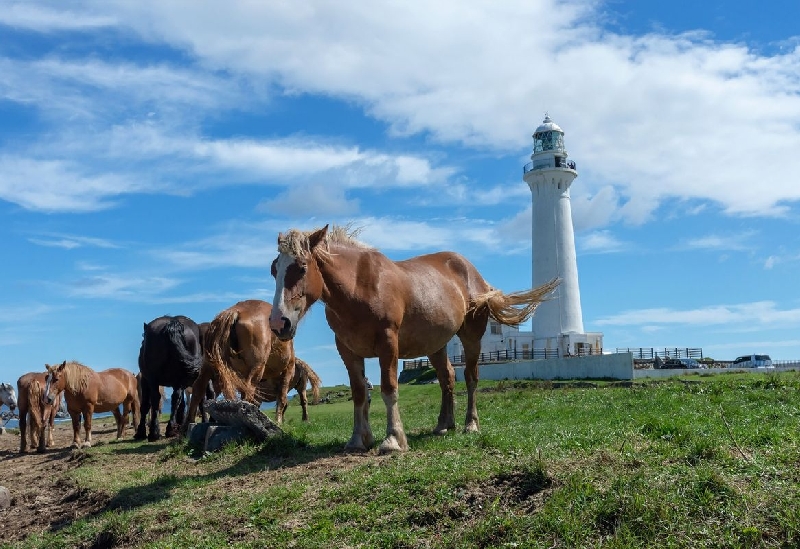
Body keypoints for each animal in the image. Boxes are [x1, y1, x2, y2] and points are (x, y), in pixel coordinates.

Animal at [184, 298, 296, 430]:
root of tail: (235, 311)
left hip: (208, 365)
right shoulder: (288, 370)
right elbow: (281, 398)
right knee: (248, 392)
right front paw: (278, 422)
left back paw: (189, 424)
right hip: (256, 368)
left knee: (198, 389)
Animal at [268, 225, 556, 452]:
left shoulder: (388, 343)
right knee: (447, 378)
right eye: (274, 270)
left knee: (471, 377)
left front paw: (393, 440)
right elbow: (359, 393)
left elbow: (389, 389)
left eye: (302, 267)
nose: (278, 322)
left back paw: (470, 424)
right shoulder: (347, 350)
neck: (359, 286)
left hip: (471, 337)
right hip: (436, 345)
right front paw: (358, 440)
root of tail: (477, 277)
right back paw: (444, 425)